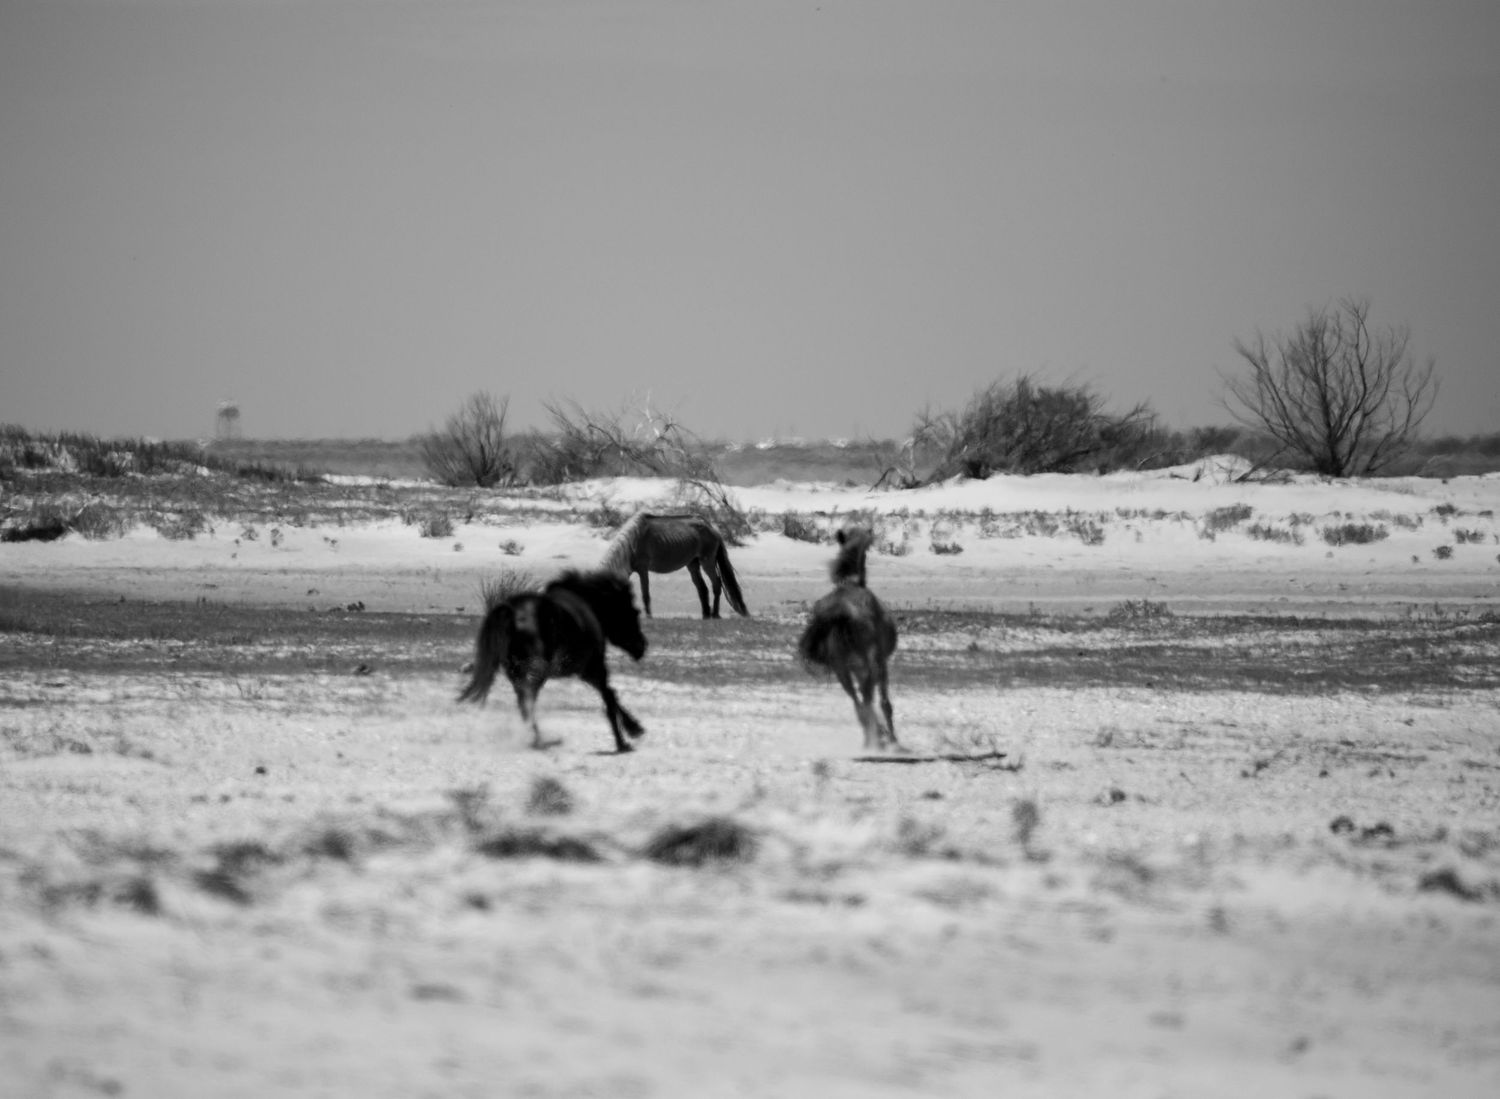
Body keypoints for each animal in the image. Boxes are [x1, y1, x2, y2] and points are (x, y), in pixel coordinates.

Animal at [459, 569, 648, 753]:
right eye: (634, 612)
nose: (642, 646)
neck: (587, 605)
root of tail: (511, 612)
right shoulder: (595, 667)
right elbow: (609, 697)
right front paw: (623, 741)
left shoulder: (585, 672)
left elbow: (611, 695)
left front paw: (635, 728)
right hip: (537, 671)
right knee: (528, 702)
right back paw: (541, 742)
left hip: (519, 672)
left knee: (525, 703)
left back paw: (539, 741)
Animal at [600, 512, 748, 619]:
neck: (632, 543)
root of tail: (712, 528)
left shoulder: (643, 569)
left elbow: (645, 594)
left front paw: (649, 616)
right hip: (692, 564)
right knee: (702, 588)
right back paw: (705, 614)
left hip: (708, 562)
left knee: (716, 584)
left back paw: (715, 614)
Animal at [797, 527, 904, 753]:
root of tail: (841, 611)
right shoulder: (878, 662)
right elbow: (883, 702)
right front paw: (891, 739)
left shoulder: (855, 667)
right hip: (871, 661)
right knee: (870, 699)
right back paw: (882, 738)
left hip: (842, 669)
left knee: (859, 704)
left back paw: (872, 739)